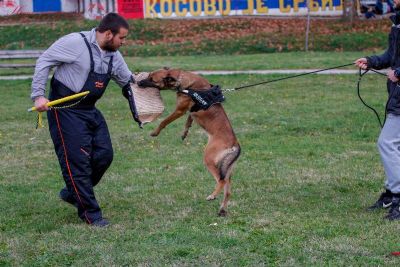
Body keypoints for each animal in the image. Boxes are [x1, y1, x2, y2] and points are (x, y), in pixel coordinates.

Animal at [138, 68, 241, 217]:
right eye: (149, 75)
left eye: (152, 79)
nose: (138, 83)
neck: (184, 80)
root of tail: (235, 144)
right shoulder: (188, 112)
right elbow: (189, 120)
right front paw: (184, 132)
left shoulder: (179, 110)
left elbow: (164, 121)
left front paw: (155, 132)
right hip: (227, 169)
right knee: (228, 190)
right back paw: (222, 209)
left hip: (209, 159)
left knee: (221, 181)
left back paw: (212, 196)